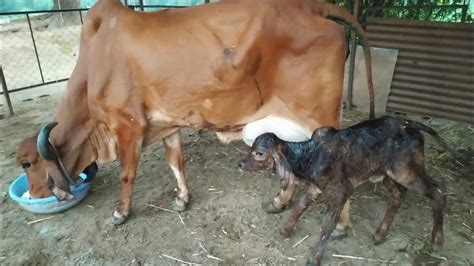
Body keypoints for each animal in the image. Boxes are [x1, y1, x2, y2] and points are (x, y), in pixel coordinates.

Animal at [14, 0, 372, 232]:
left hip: (318, 117)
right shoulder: (167, 123)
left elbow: (127, 174)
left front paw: (120, 213)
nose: (35, 194)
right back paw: (279, 202)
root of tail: (312, 7)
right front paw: (182, 199)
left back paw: (340, 224)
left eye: (27, 163)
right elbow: (176, 162)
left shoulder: (128, 125)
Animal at [239, 116, 450, 266]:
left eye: (259, 153)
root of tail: (411, 124)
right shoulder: (316, 186)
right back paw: (380, 234)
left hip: (405, 171)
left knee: (438, 191)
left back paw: (438, 243)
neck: (309, 156)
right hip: (385, 173)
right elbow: (300, 206)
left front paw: (314, 257)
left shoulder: (341, 190)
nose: (240, 163)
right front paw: (286, 229)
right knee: (398, 195)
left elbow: (328, 223)